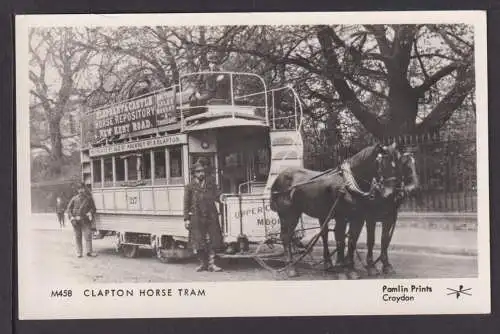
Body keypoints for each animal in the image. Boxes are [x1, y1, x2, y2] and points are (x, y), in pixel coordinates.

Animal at [270, 142, 402, 278]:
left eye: (398, 162)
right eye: (382, 162)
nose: (391, 194)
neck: (349, 184)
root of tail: (279, 178)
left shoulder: (359, 219)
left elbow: (352, 241)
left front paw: (351, 268)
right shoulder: (343, 218)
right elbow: (341, 241)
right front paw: (342, 268)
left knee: (318, 235)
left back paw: (326, 264)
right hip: (288, 214)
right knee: (286, 236)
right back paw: (290, 267)